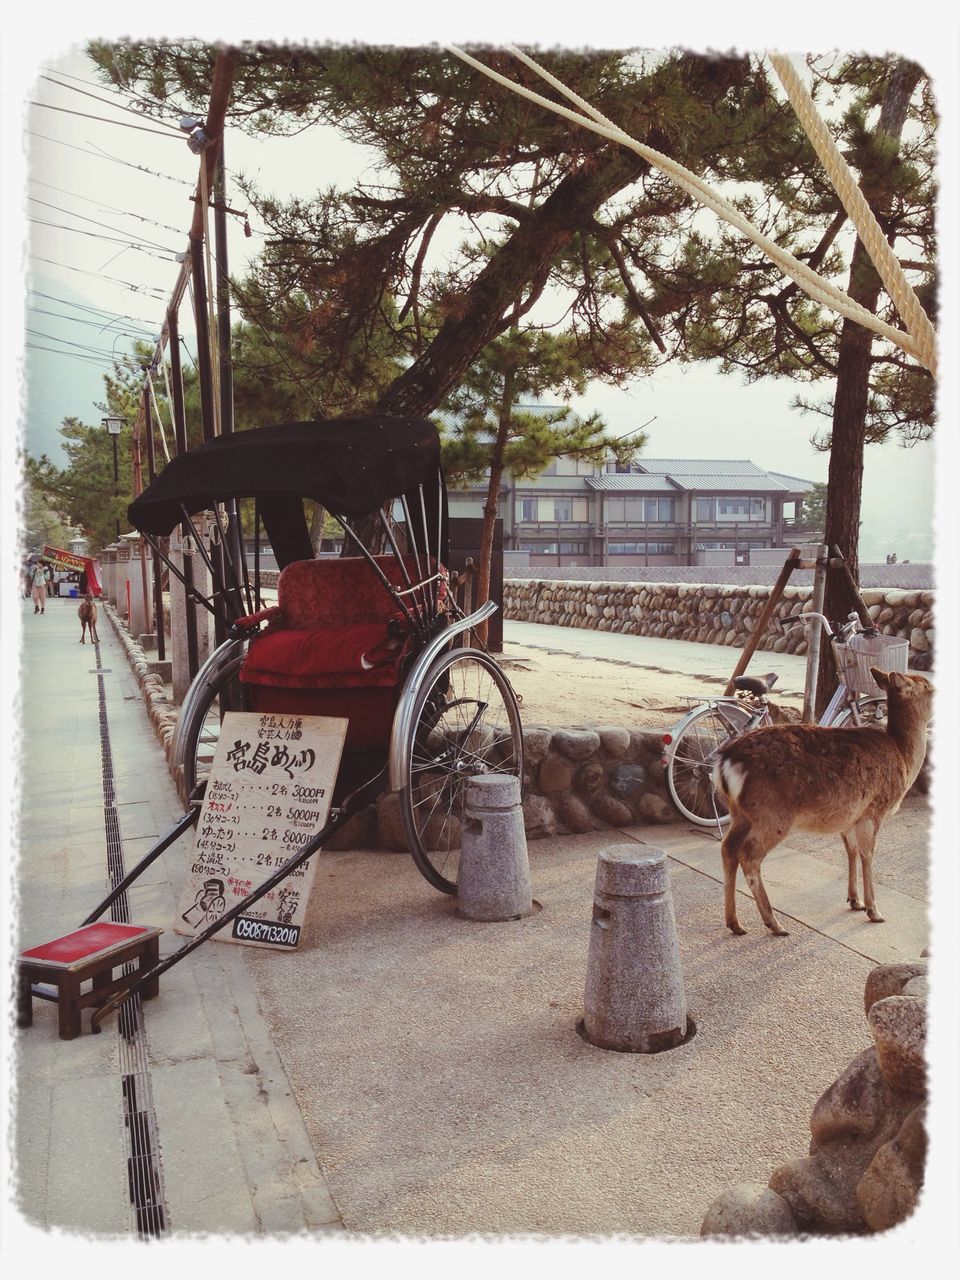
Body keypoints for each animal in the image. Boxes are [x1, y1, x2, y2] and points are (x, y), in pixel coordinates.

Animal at [716, 670, 936, 942]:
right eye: (929, 687)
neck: (903, 756)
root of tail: (725, 762)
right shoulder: (874, 809)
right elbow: (868, 854)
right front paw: (874, 910)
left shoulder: (850, 816)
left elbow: (851, 851)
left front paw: (855, 901)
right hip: (772, 815)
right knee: (749, 854)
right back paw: (774, 924)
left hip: (740, 814)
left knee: (728, 848)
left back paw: (734, 922)